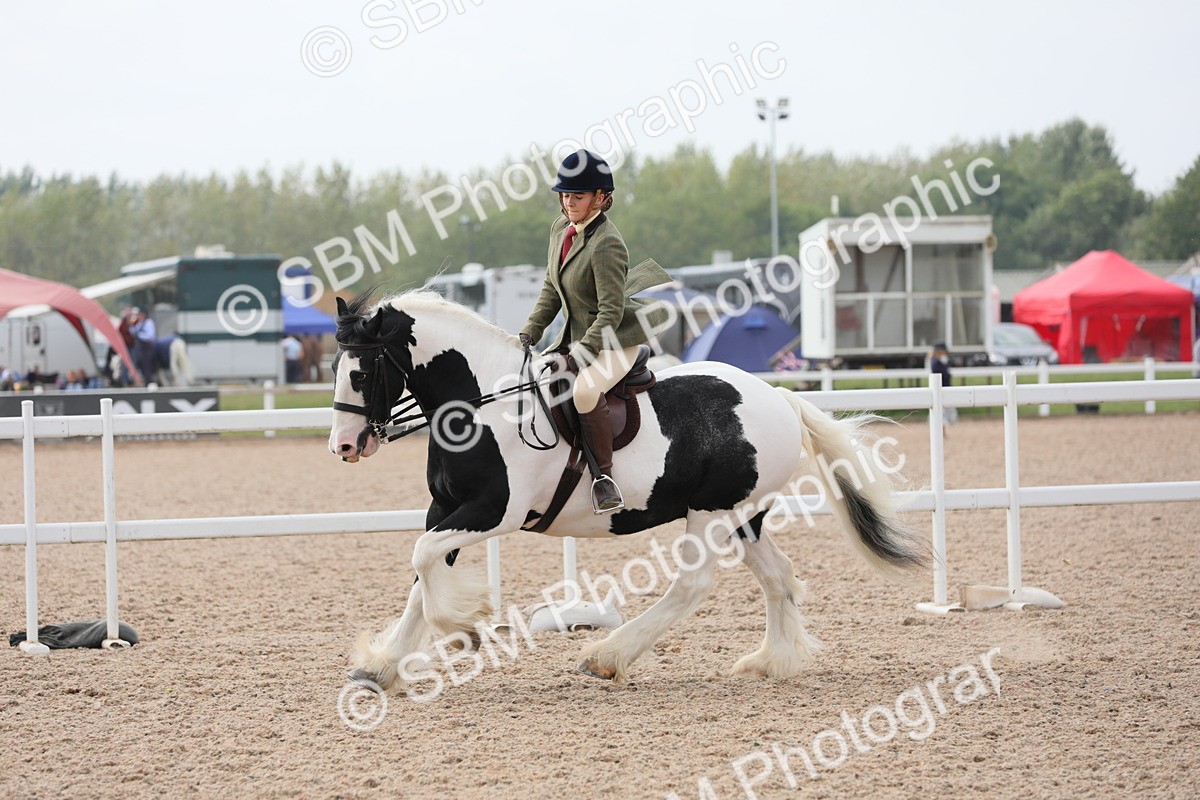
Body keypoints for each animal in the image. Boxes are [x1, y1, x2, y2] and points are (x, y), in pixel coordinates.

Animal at [329, 289, 926, 690]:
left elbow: (422, 557)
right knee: (778, 577)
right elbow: (420, 573)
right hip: (744, 515)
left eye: (359, 373)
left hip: (709, 514)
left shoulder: (492, 511)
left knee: (692, 586)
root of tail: (777, 396)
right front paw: (382, 667)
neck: (480, 408)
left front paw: (462, 628)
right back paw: (770, 662)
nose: (344, 446)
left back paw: (608, 657)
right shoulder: (447, 507)